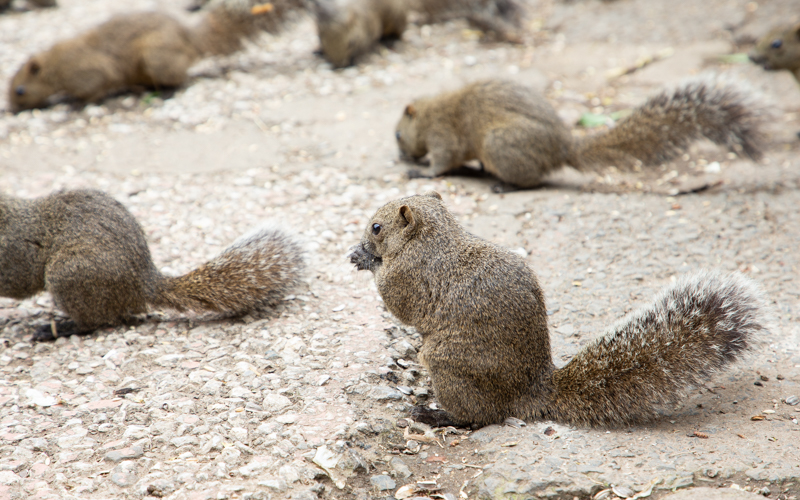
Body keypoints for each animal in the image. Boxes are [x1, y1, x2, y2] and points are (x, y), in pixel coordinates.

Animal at [0, 189, 306, 342]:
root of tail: (142, 284)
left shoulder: (18, 251)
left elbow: (18, 282)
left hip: (68, 275)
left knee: (95, 322)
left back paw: (56, 329)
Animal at [7, 0, 306, 111]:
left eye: (20, 90)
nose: (9, 109)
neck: (53, 66)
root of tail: (190, 40)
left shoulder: (86, 71)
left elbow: (95, 88)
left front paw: (74, 103)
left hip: (157, 58)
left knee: (183, 80)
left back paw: (165, 92)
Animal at [346, 190, 772, 426]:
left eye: (377, 228)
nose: (363, 241)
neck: (433, 236)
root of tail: (533, 392)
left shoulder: (413, 277)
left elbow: (398, 302)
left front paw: (366, 260)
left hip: (450, 364)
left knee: (482, 416)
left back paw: (439, 416)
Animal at [396, 78, 764, 189]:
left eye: (399, 135)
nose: (399, 155)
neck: (429, 114)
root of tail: (563, 149)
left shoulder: (443, 135)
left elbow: (442, 162)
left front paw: (420, 170)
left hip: (500, 144)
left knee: (534, 181)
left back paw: (506, 185)